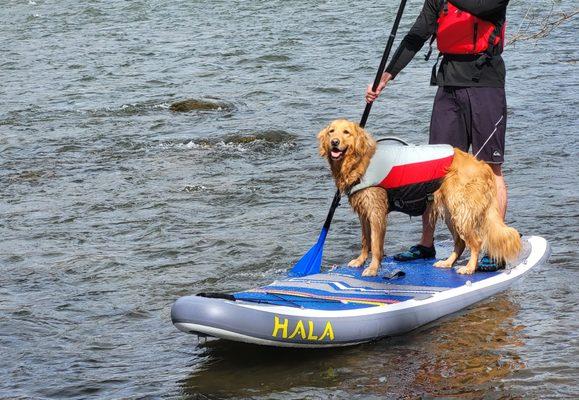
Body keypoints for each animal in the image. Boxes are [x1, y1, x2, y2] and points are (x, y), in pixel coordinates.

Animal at [320, 118, 524, 276]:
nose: (334, 142)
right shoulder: (364, 212)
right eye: (331, 131)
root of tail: (482, 166)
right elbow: (365, 240)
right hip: (450, 212)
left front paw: (372, 268)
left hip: (461, 210)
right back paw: (447, 263)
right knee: (460, 242)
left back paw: (469, 268)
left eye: (346, 132)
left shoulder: (376, 212)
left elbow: (376, 245)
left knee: (475, 242)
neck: (360, 161)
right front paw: (360, 260)